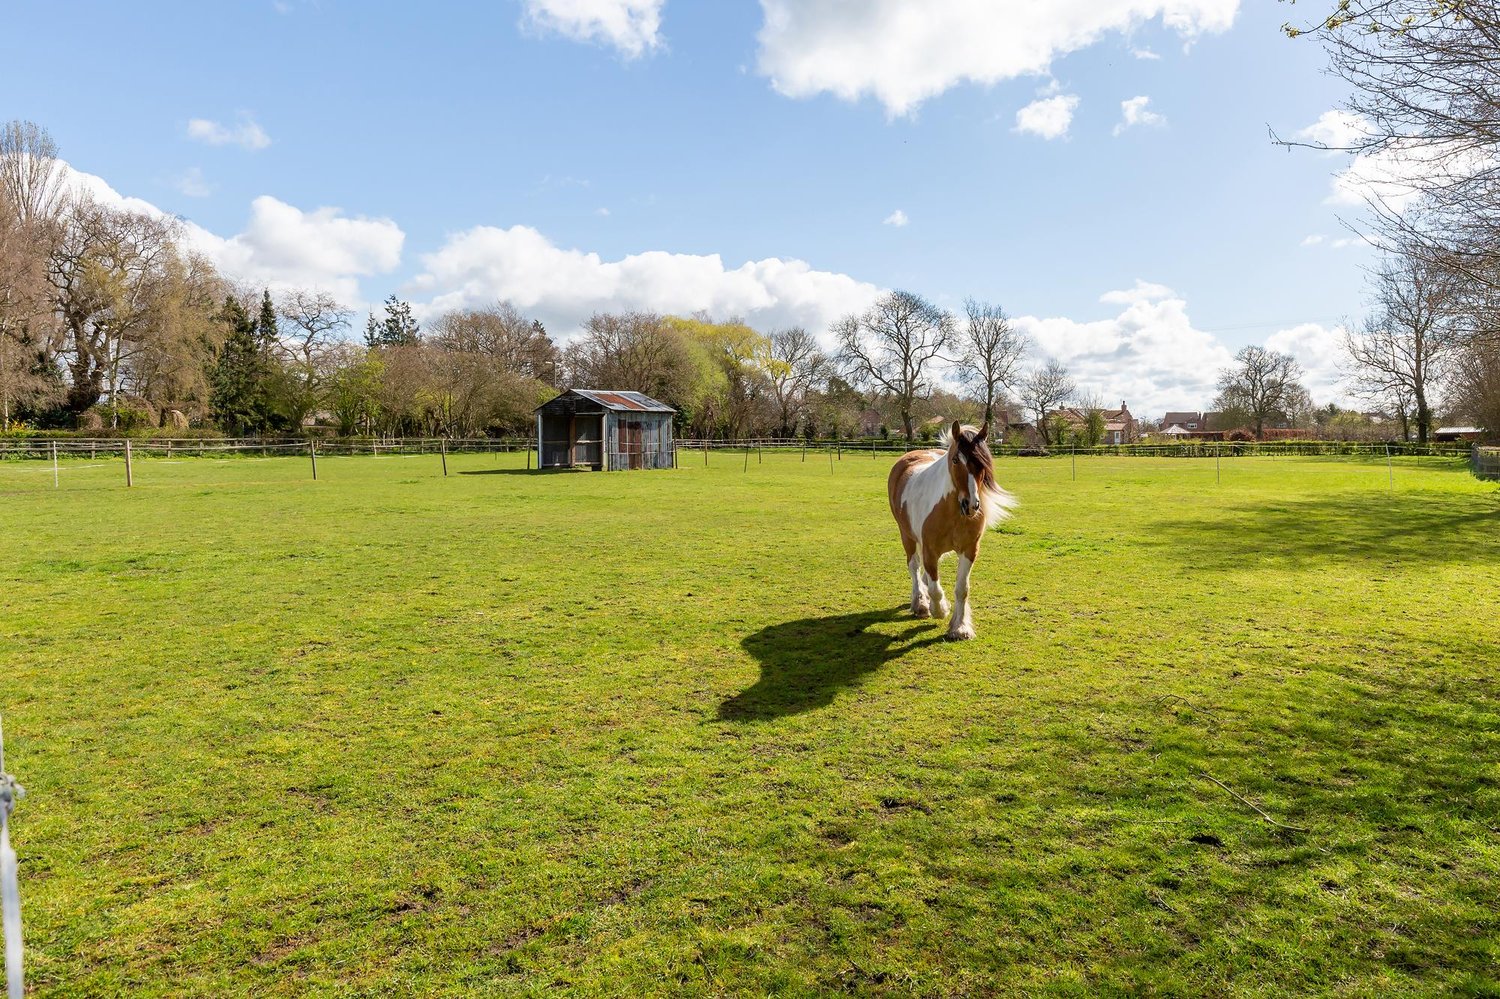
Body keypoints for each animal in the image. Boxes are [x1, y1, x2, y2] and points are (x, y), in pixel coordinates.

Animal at [882, 417, 1014, 639]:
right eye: (955, 460)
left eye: (982, 463)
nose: (971, 505)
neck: (952, 512)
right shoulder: (930, 550)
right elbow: (935, 587)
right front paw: (940, 609)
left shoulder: (969, 550)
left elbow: (962, 588)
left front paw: (960, 627)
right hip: (907, 536)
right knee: (914, 566)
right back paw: (920, 603)